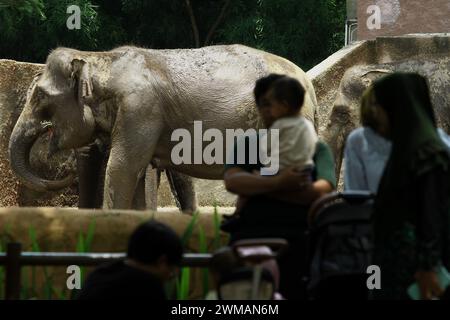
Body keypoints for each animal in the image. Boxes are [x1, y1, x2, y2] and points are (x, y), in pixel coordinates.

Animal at [9, 44, 316, 210]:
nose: (45, 128)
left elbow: (121, 168)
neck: (100, 59)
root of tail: (308, 83)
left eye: (40, 96)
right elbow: (137, 177)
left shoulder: (140, 110)